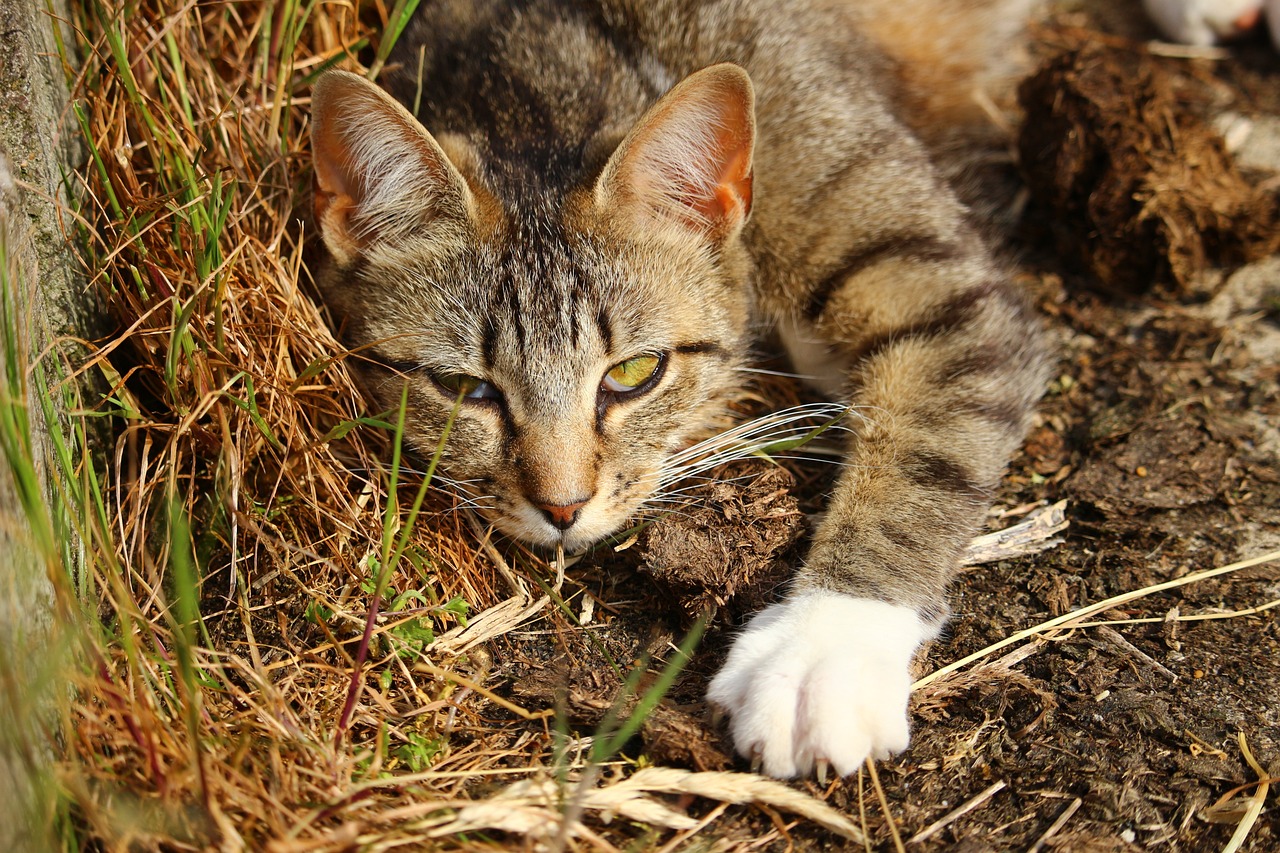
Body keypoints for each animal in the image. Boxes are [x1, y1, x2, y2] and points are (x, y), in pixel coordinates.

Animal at [309, 0, 1049, 778]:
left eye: (635, 373)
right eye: (462, 387)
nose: (563, 508)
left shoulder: (947, 296)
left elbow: (921, 462)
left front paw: (823, 650)